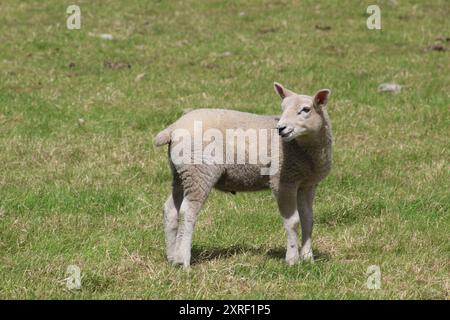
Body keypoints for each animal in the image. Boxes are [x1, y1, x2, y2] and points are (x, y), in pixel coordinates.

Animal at [155, 82, 334, 268]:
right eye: (282, 108)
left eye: (306, 109)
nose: (281, 129)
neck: (303, 149)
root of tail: (172, 128)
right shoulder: (283, 181)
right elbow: (292, 221)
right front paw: (292, 260)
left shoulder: (307, 184)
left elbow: (308, 219)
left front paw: (308, 258)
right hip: (199, 171)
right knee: (187, 212)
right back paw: (184, 261)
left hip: (181, 173)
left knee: (171, 209)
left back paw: (172, 257)